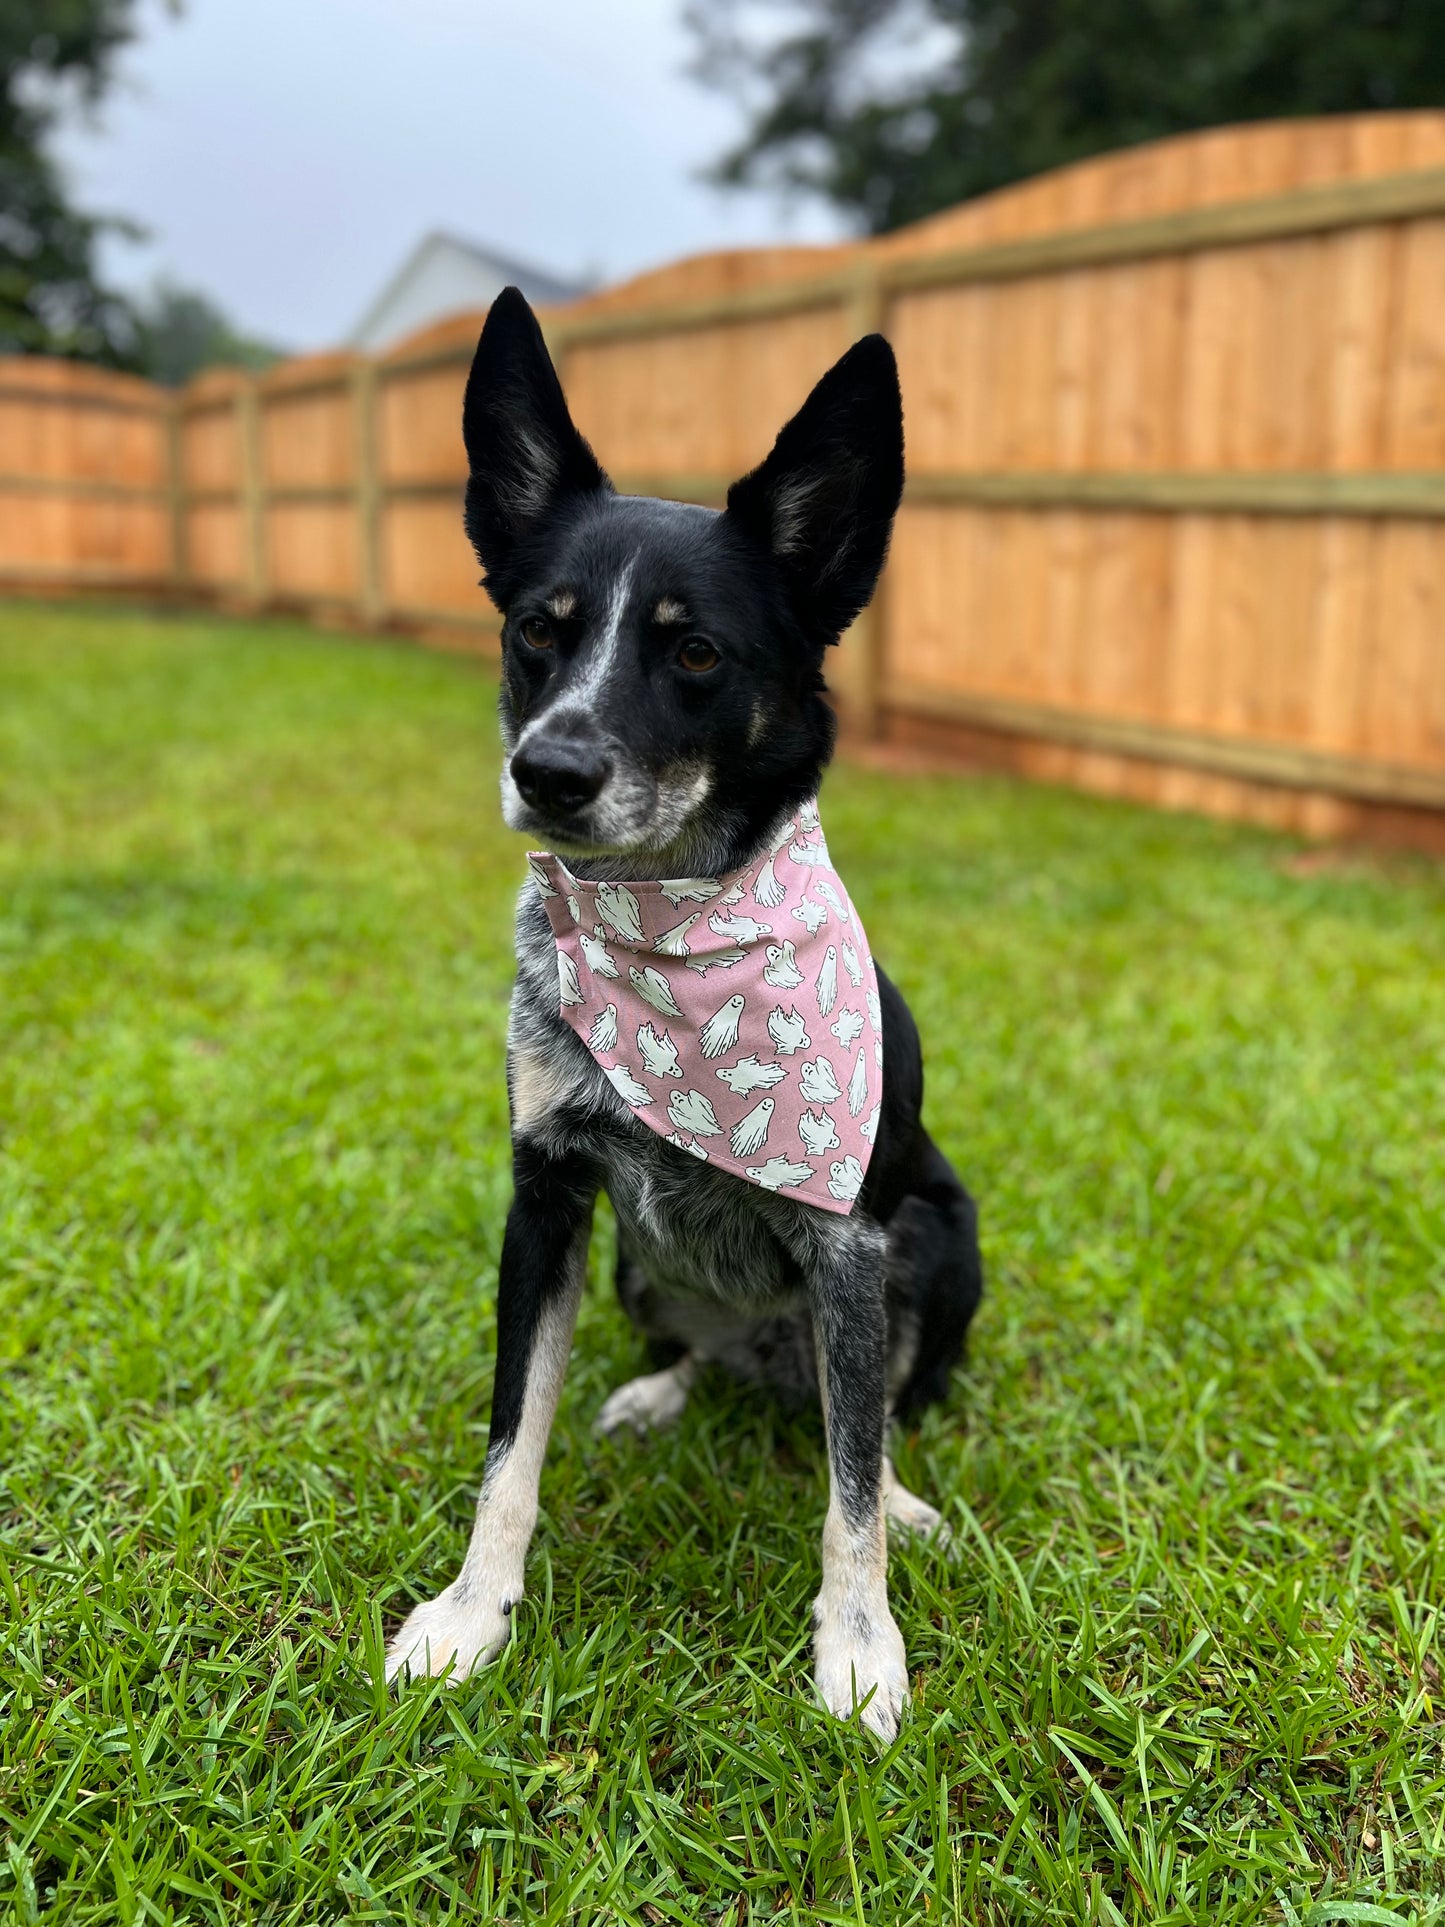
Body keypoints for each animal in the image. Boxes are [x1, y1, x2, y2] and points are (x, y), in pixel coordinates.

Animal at [387, 285, 986, 1749]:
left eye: (698, 651)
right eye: (537, 629)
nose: (546, 768)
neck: (670, 943)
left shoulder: (849, 1243)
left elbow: (844, 1486)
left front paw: (859, 1646)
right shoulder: (546, 1200)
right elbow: (510, 1443)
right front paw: (470, 1614)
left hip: (941, 1240)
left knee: (873, 1413)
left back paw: (905, 1494)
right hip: (634, 1267)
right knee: (712, 1365)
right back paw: (660, 1390)